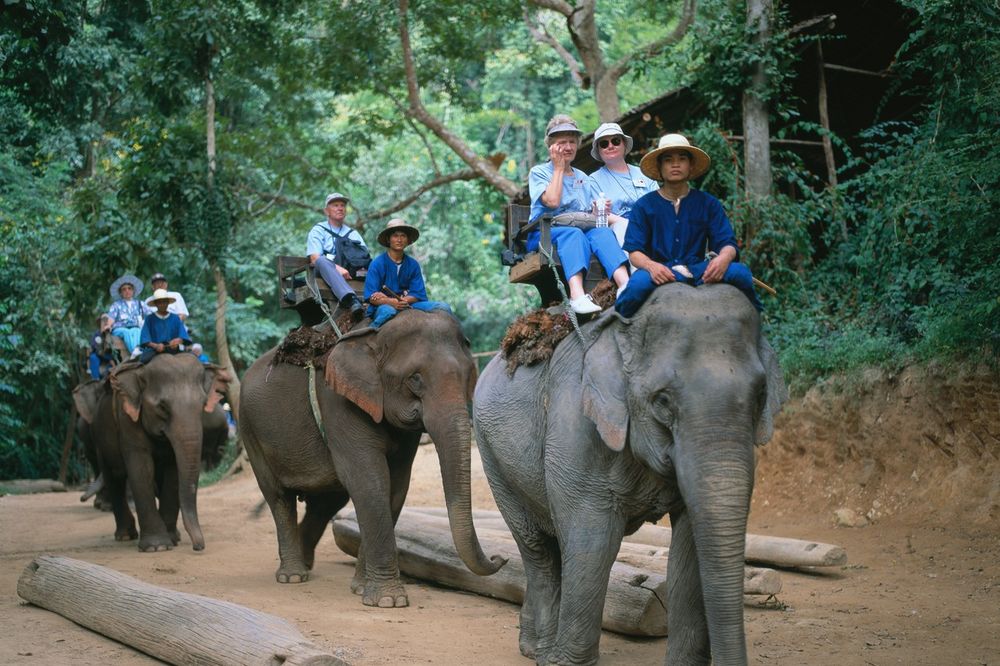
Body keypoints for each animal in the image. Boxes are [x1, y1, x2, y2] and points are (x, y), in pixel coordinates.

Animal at [73, 352, 232, 548]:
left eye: (203, 405)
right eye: (162, 407)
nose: (198, 547)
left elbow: (173, 472)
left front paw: (172, 539)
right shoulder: (127, 419)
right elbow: (141, 469)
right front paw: (157, 546)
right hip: (99, 435)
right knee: (113, 476)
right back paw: (125, 536)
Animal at [241, 308, 504, 604]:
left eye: (468, 376)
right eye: (415, 379)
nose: (499, 558)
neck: (375, 335)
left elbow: (395, 485)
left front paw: (360, 588)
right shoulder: (337, 402)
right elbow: (369, 479)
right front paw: (389, 601)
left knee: (326, 502)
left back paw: (306, 564)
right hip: (249, 429)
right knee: (279, 497)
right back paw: (293, 576)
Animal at [476, 282, 788, 664]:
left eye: (761, 396)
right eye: (663, 401)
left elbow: (688, 545)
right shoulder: (576, 422)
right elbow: (594, 538)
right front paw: (567, 663)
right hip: (490, 453)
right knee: (538, 548)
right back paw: (539, 651)